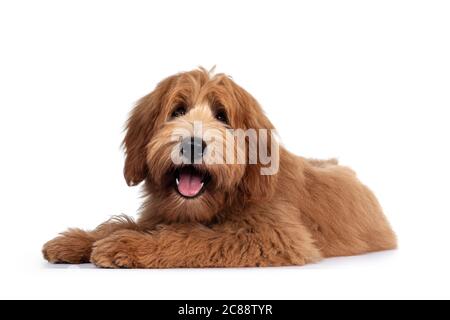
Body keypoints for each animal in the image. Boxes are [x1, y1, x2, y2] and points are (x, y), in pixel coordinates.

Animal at [41, 67, 394, 268]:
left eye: (222, 115)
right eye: (177, 110)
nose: (193, 144)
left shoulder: (274, 236)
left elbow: (192, 238)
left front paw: (127, 245)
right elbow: (123, 224)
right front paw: (78, 240)